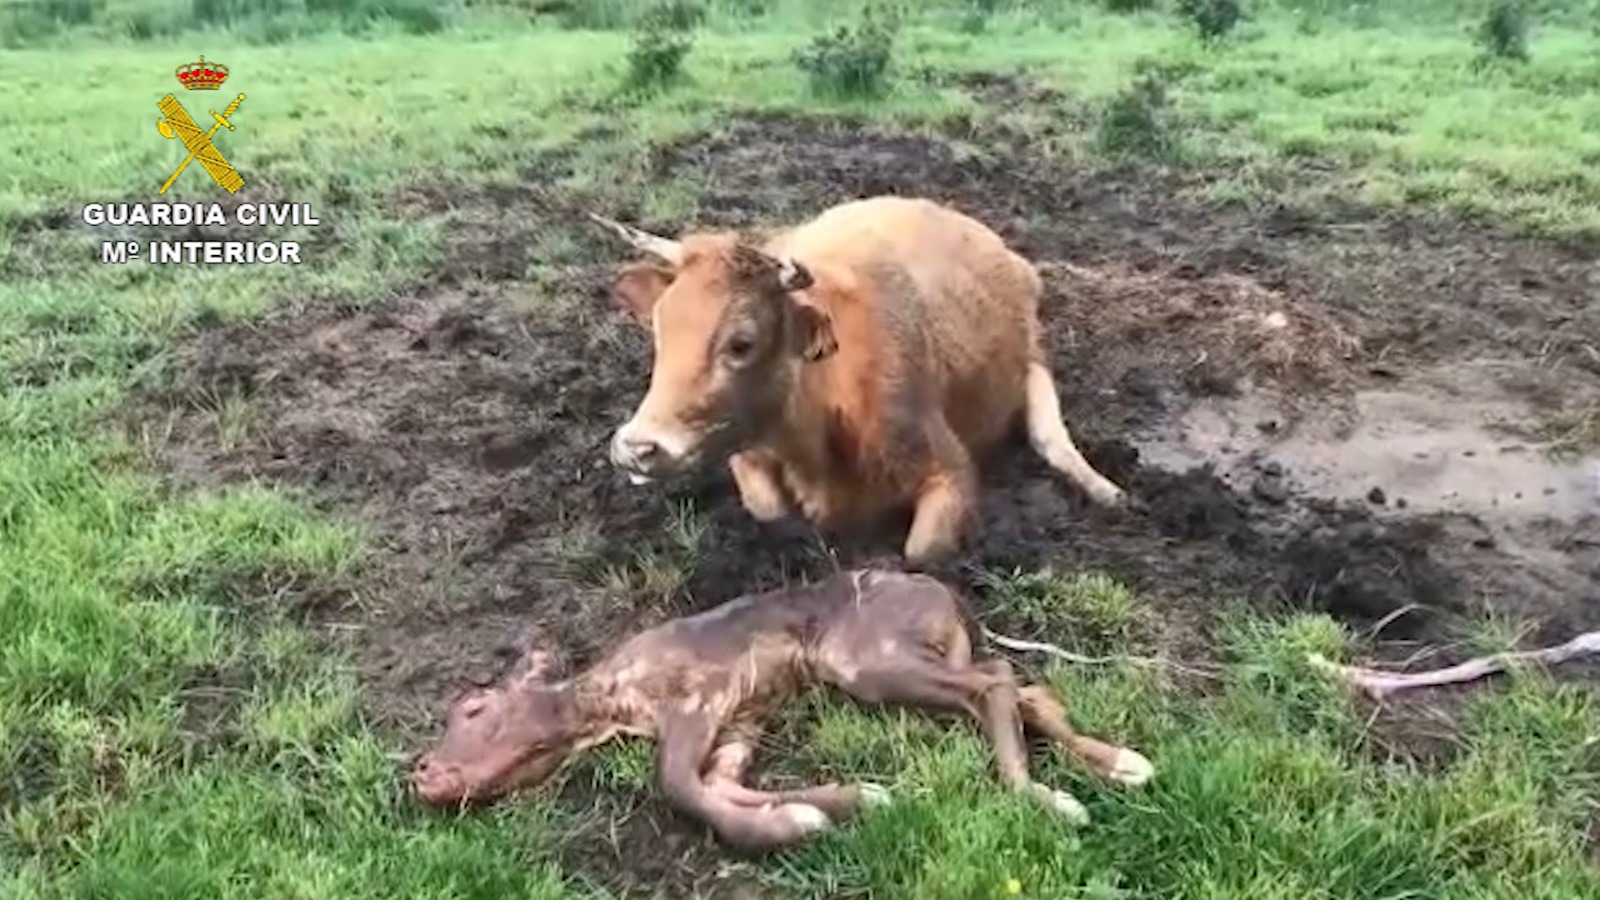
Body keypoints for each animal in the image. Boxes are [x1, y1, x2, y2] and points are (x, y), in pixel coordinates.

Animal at [410, 568, 1154, 850]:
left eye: (473, 708)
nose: (422, 775)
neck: (611, 700)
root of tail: (948, 596)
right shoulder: (741, 722)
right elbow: (720, 785)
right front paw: (843, 803)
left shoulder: (697, 697)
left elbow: (675, 783)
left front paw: (801, 819)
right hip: (926, 652)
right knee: (1029, 690)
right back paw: (1121, 765)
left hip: (866, 657)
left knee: (996, 683)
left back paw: (1041, 797)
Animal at [587, 195, 1128, 567]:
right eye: (659, 329)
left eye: (741, 342)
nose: (637, 448)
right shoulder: (746, 449)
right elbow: (769, 509)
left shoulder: (950, 468)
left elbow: (919, 552)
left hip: (1032, 357)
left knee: (1050, 434)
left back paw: (1106, 489)